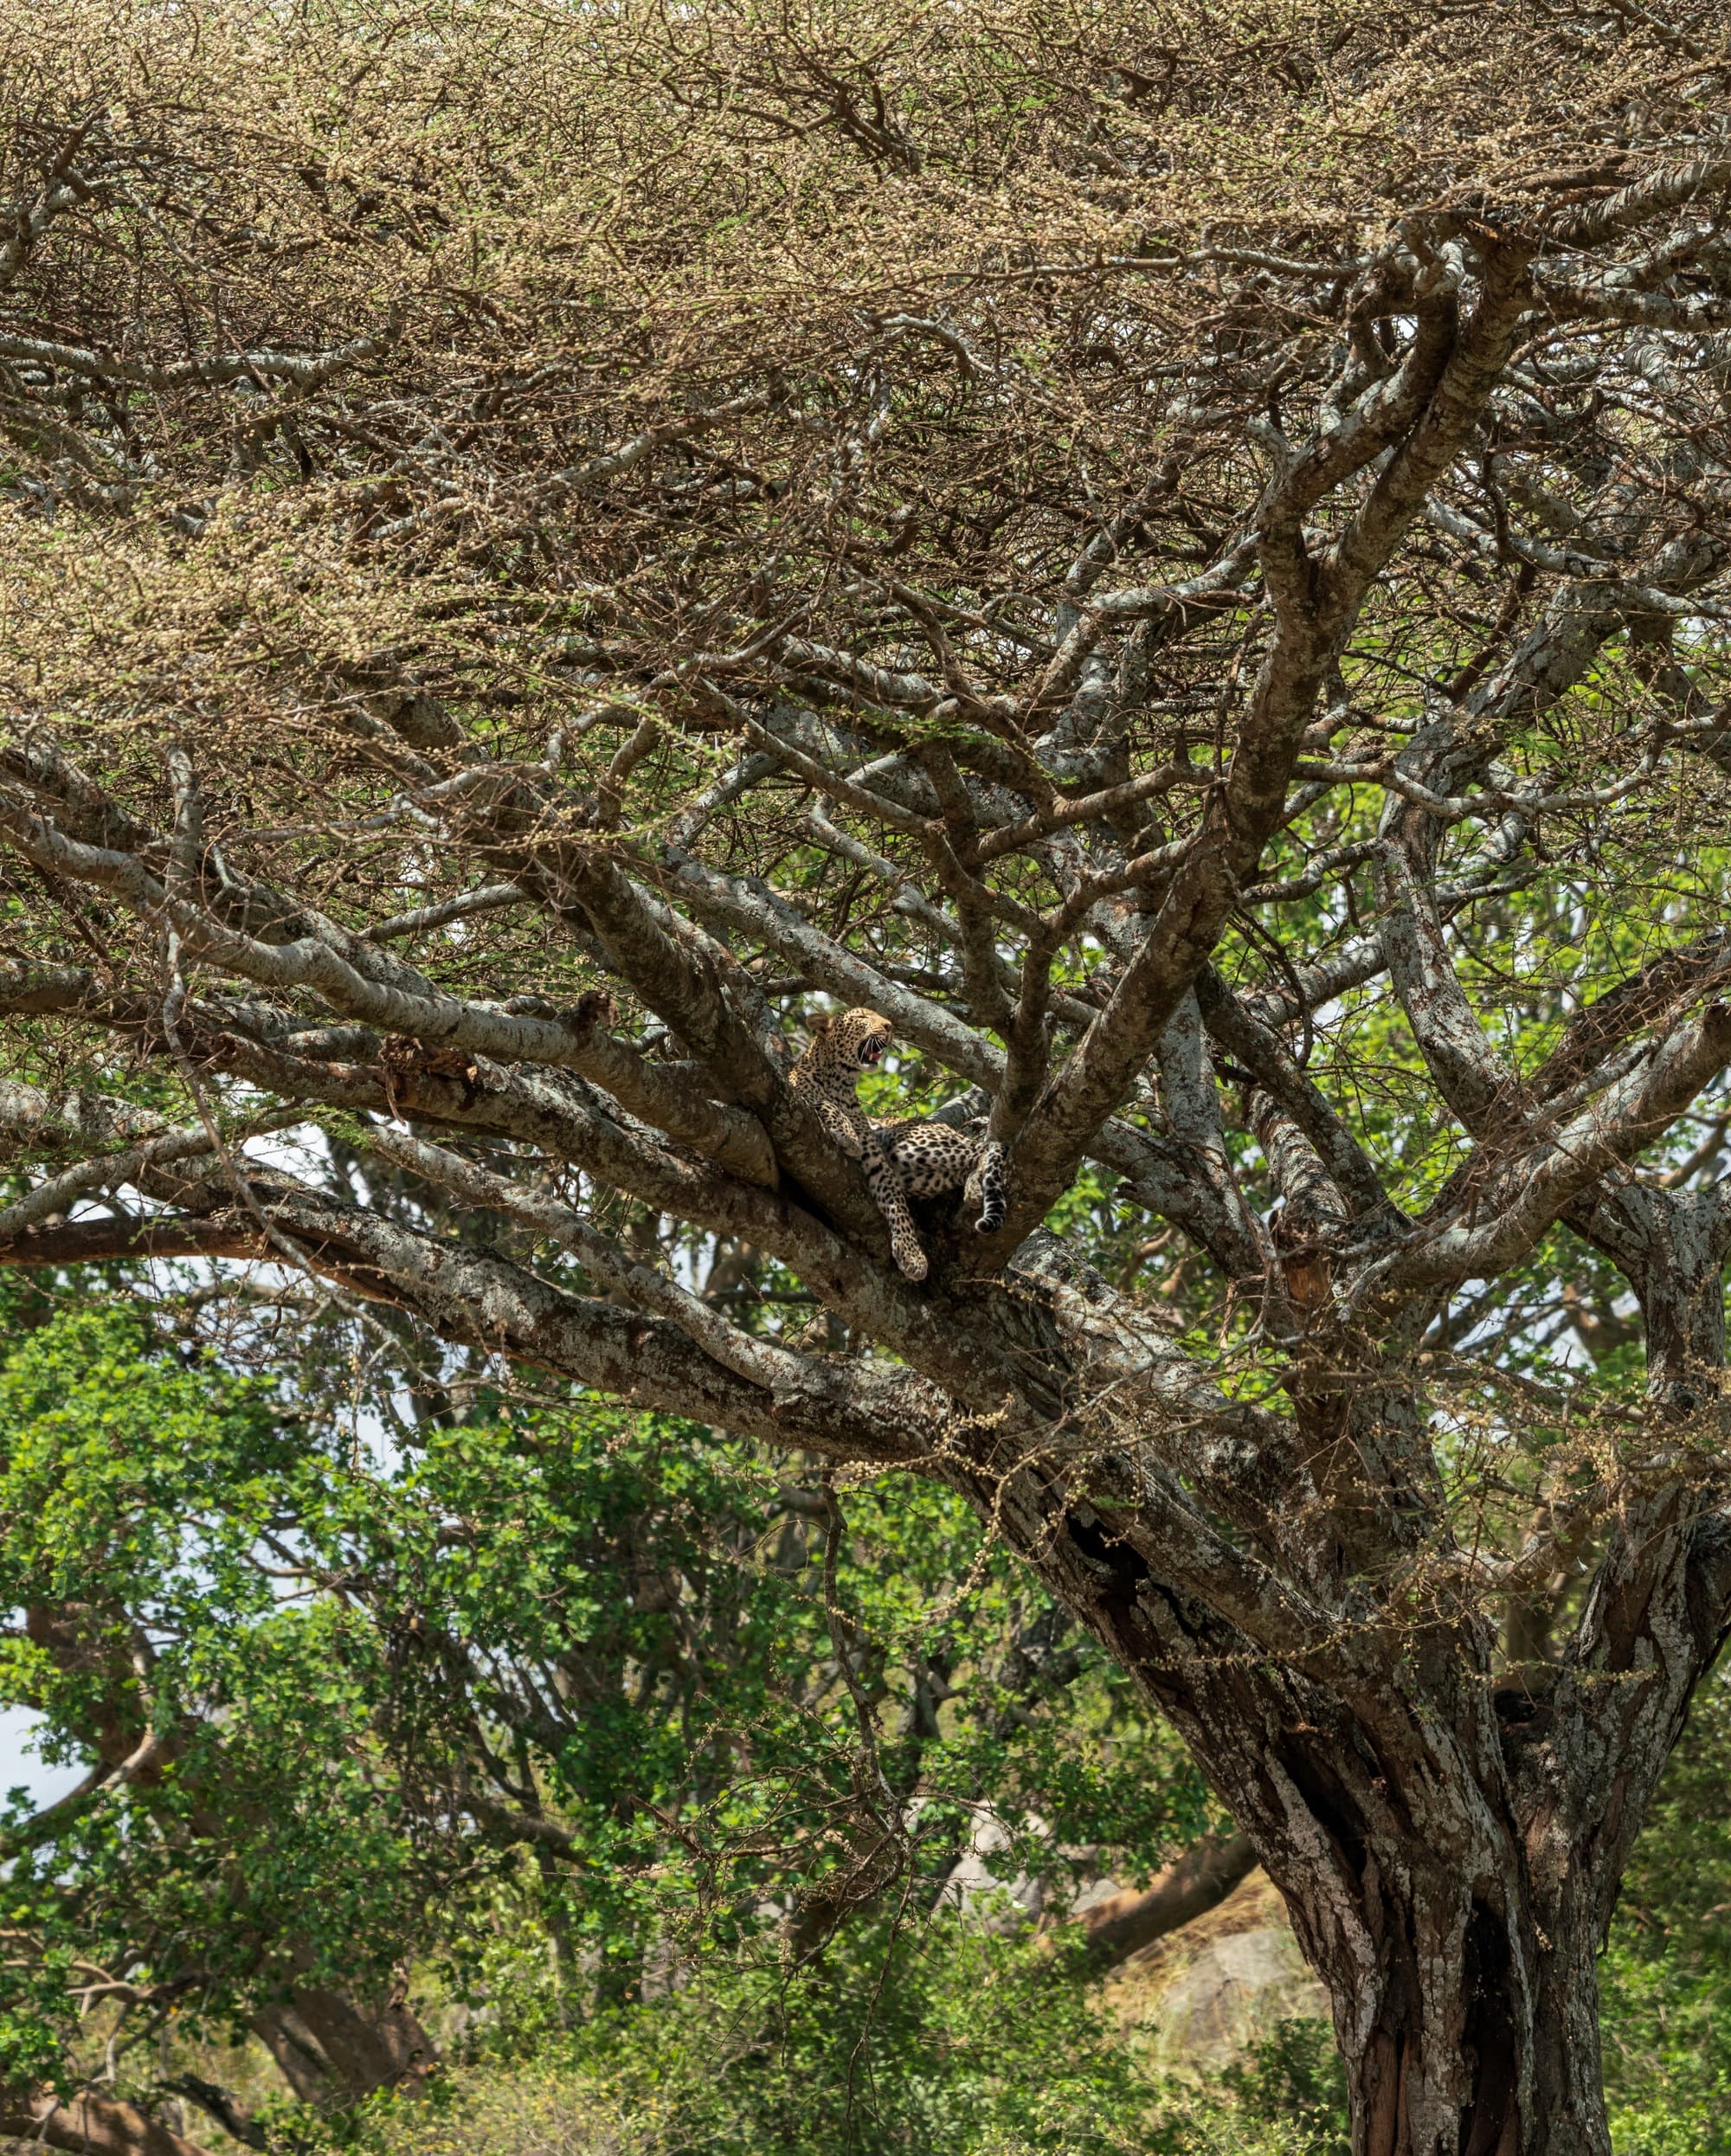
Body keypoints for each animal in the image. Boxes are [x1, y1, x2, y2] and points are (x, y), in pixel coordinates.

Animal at [789, 1007, 1007, 1282]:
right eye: (862, 1018)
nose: (889, 1026)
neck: (841, 1081)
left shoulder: (877, 1160)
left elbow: (897, 1204)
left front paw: (911, 1254)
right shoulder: (797, 1095)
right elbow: (823, 1102)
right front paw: (847, 1133)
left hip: (912, 1144)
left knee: (986, 1149)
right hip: (918, 1174)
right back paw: (974, 1190)